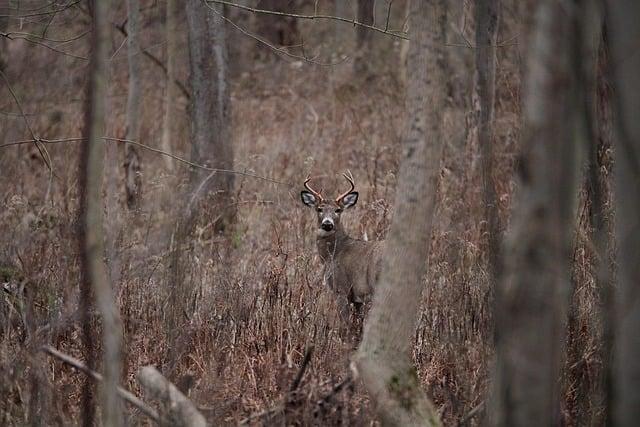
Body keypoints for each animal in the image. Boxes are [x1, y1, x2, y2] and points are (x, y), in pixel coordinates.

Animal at [302, 173, 384, 318]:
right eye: (319, 209)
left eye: (338, 210)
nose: (327, 224)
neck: (333, 254)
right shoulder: (357, 298)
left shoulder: (341, 288)